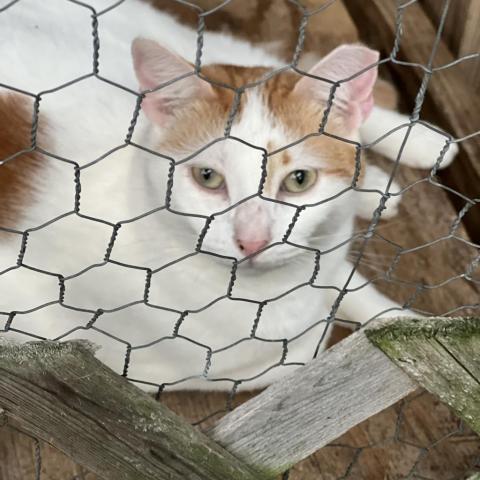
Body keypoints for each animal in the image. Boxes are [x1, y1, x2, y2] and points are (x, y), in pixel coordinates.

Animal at [0, 0, 458, 390]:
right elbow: (295, 355)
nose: (252, 240)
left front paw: (408, 328)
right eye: (207, 177)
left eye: (299, 180)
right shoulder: (114, 363)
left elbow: (362, 300)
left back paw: (419, 145)